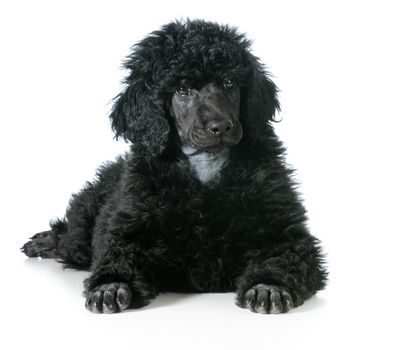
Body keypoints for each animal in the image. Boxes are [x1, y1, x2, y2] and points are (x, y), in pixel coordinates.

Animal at [21, 19, 328, 314]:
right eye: (182, 90)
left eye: (229, 82)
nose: (221, 126)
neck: (205, 163)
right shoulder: (126, 228)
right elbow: (116, 252)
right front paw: (112, 284)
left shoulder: (284, 232)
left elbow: (283, 255)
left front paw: (268, 286)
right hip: (84, 226)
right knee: (69, 236)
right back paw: (44, 241)